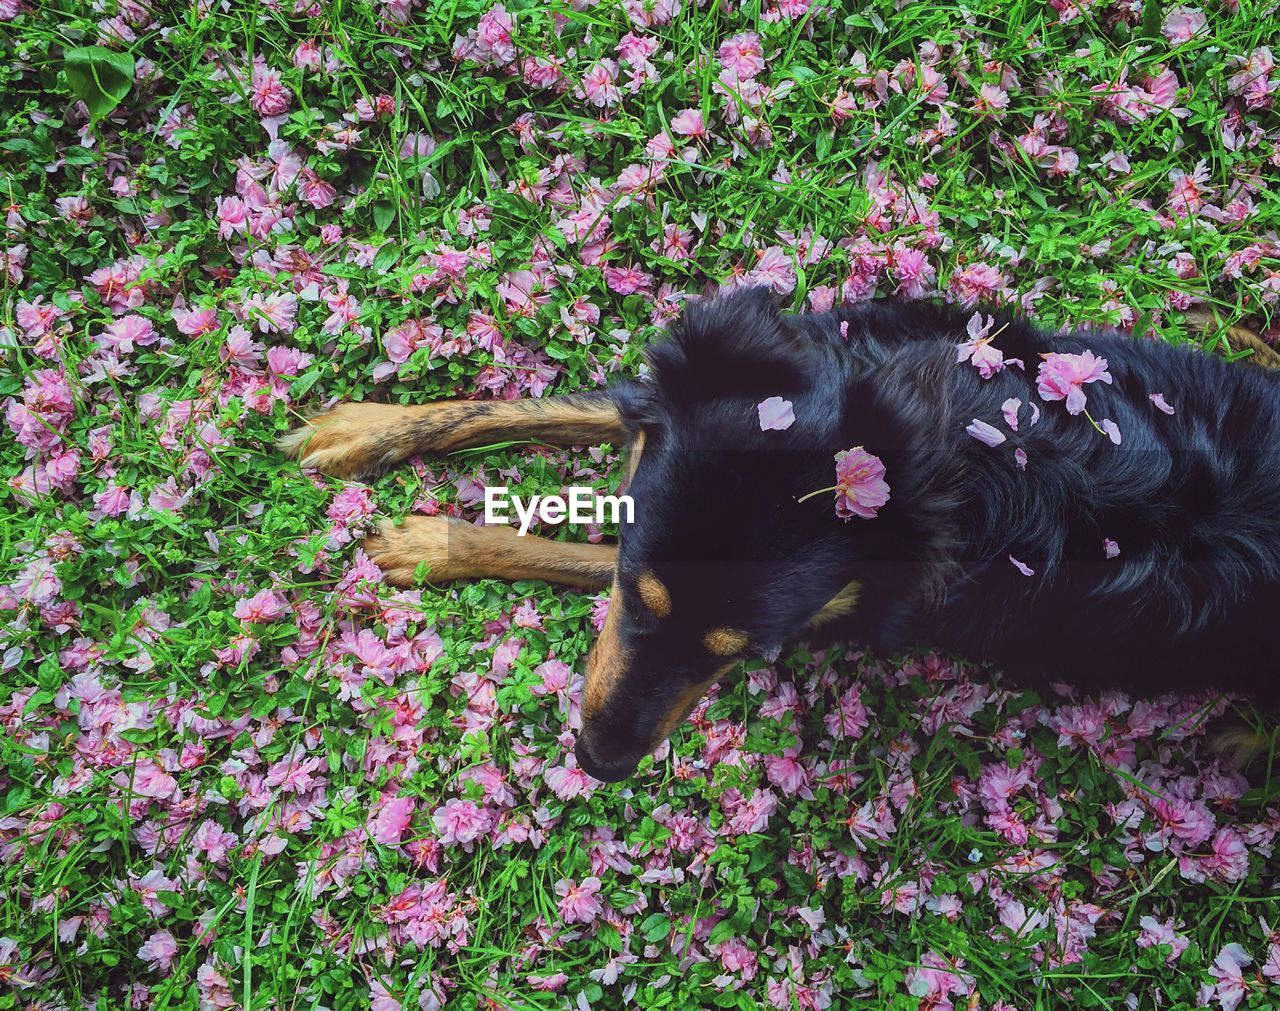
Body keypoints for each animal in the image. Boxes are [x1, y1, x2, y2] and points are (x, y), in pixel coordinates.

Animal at [282, 289, 1280, 788]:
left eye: (747, 655)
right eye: (637, 599)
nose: (600, 766)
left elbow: (556, 544)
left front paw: (429, 542)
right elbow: (540, 407)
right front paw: (366, 429)